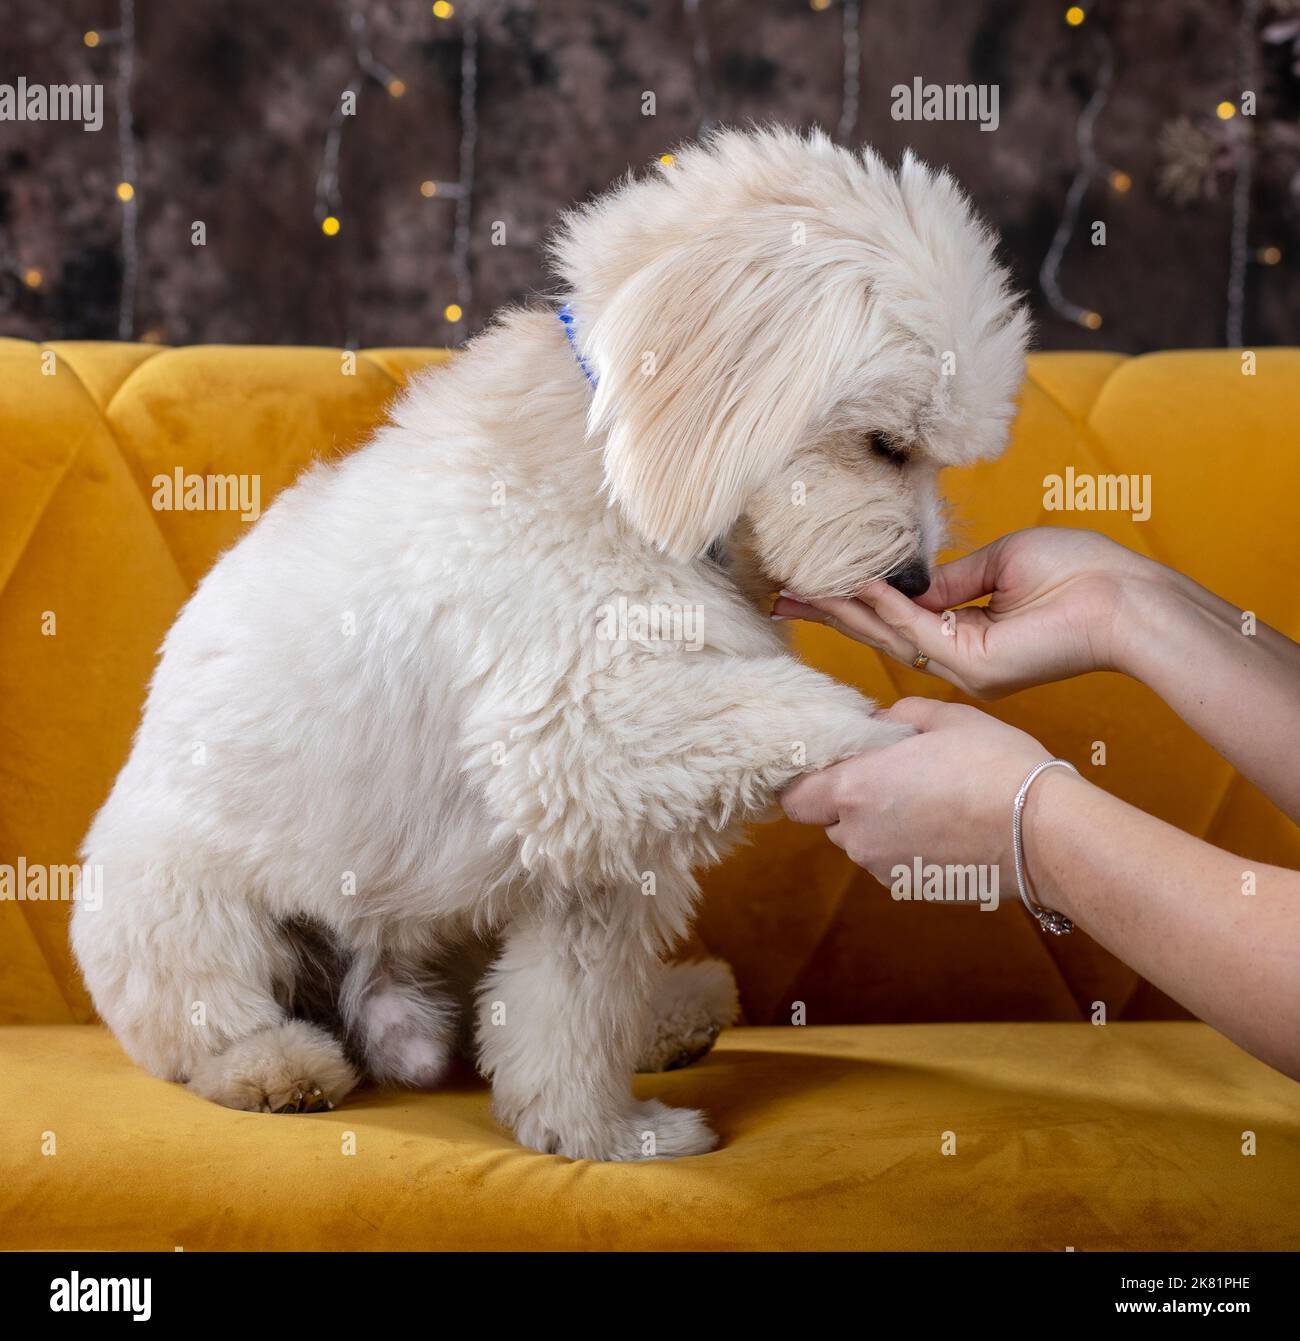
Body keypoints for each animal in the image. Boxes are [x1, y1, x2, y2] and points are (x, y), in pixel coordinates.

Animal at [73, 128, 1024, 1163]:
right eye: (886, 443)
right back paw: (275, 1068)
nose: (916, 581)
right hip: (178, 903)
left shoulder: (595, 855)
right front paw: (893, 739)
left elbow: (569, 1012)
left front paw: (593, 1130)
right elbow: (785, 707)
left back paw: (673, 1011)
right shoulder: (567, 740)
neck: (615, 469)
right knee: (202, 1025)